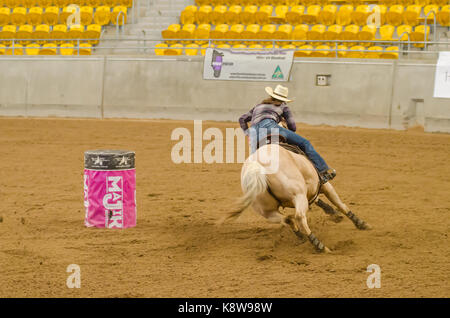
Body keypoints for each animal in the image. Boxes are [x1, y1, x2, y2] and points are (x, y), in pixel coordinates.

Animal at [227, 143, 370, 252]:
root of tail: (257, 167)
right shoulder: (323, 185)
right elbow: (339, 203)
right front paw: (360, 223)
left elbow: (320, 201)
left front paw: (333, 214)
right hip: (299, 195)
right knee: (300, 216)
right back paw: (318, 245)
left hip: (266, 210)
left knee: (287, 219)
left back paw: (301, 236)